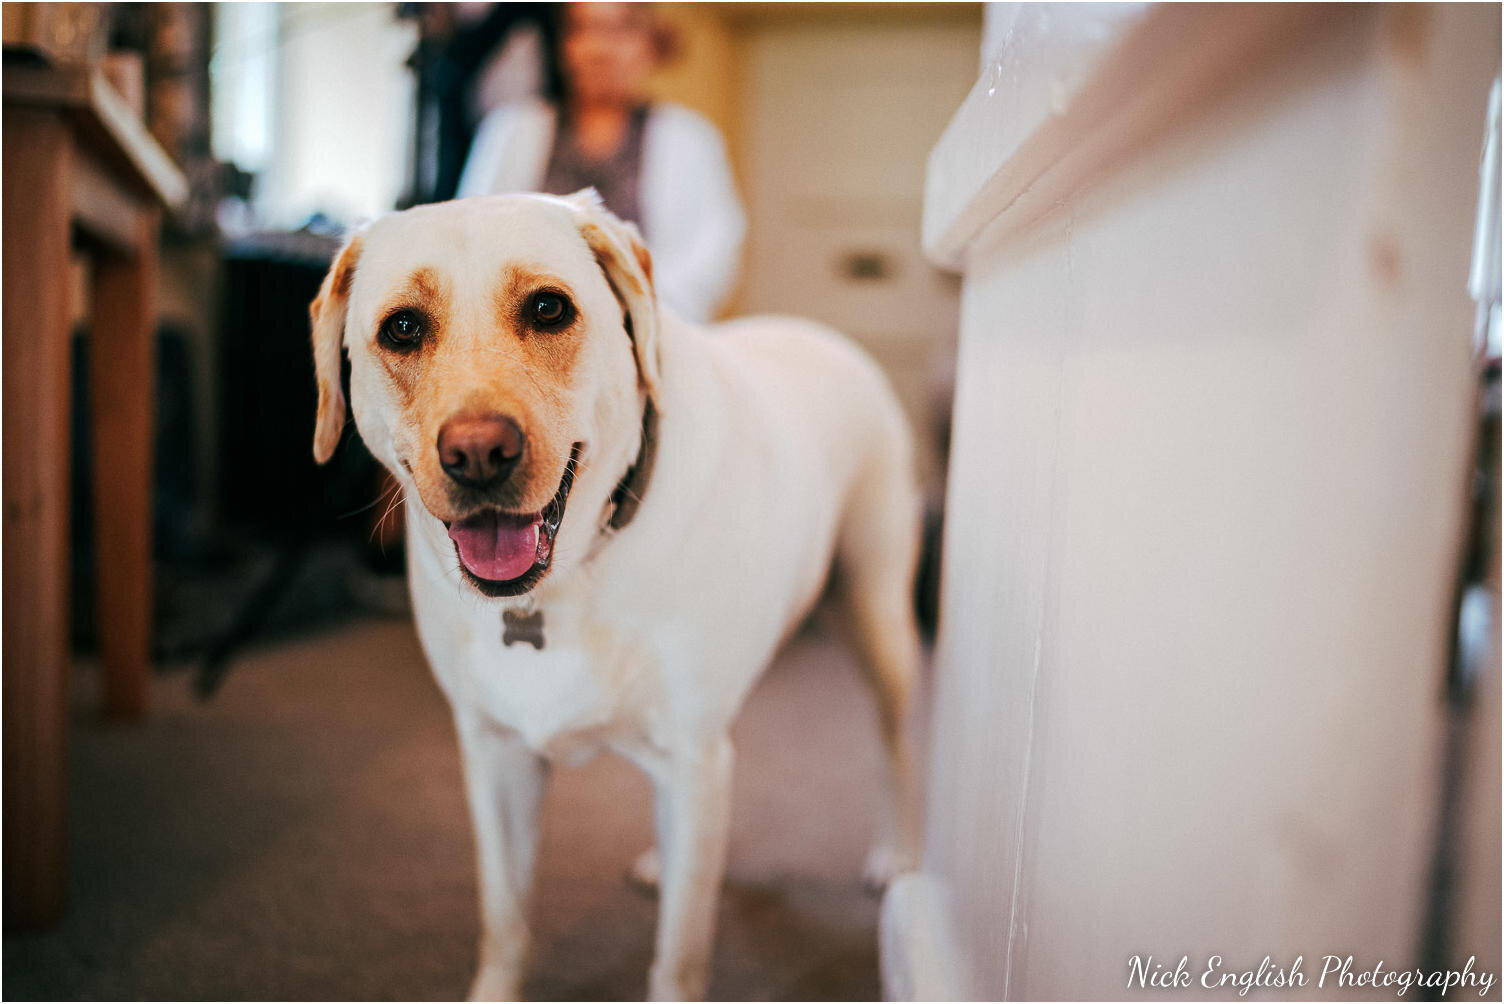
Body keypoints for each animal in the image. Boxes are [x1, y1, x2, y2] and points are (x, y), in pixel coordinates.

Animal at [311, 192, 920, 997]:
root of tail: (822, 332)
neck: (558, 585)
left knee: (895, 741)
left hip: (876, 617)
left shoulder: (691, 755)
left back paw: (901, 862)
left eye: (548, 308)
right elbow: (504, 919)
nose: (479, 454)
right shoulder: (496, 755)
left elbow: (680, 957)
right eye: (403, 328)